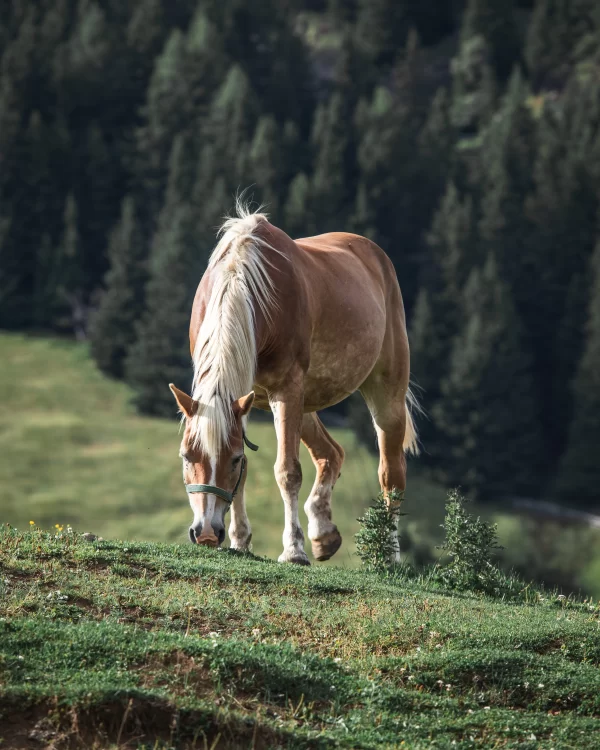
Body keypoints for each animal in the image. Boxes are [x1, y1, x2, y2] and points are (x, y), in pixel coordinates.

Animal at [169, 203, 420, 568]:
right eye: (187, 456)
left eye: (231, 460)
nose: (205, 533)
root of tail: (375, 255)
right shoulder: (245, 398)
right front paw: (240, 540)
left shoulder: (286, 390)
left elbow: (287, 471)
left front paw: (293, 550)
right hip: (302, 403)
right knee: (332, 453)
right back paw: (324, 533)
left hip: (384, 395)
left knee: (392, 474)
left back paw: (388, 553)